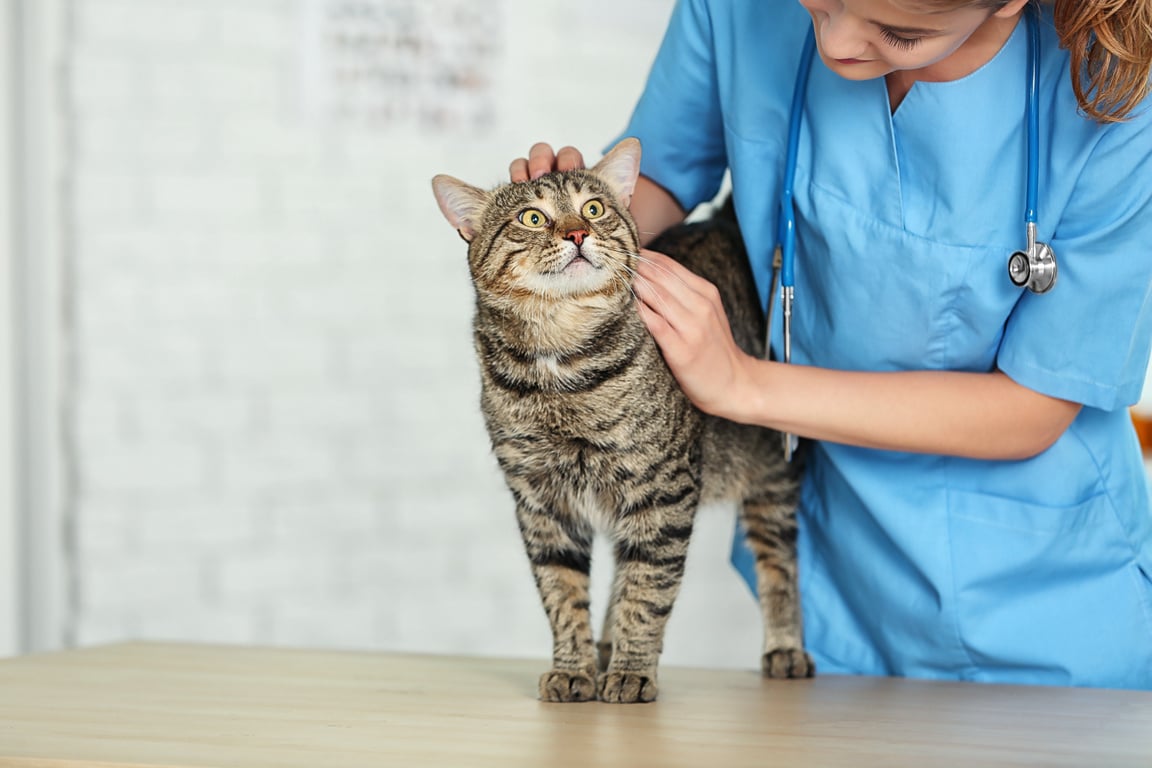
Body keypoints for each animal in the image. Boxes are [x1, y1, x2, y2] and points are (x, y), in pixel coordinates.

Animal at [433, 138, 811, 704]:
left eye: (593, 208)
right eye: (532, 217)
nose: (577, 233)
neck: (560, 363)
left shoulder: (663, 491)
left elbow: (648, 590)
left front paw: (632, 671)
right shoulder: (542, 503)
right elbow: (562, 594)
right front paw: (575, 668)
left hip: (772, 473)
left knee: (778, 560)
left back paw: (784, 648)